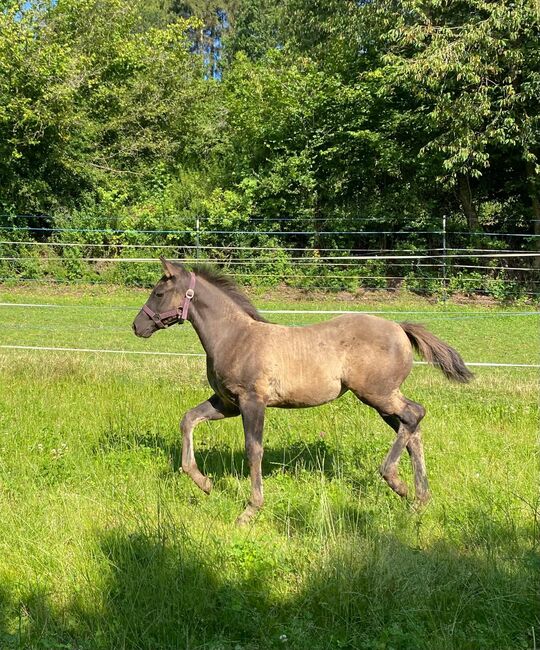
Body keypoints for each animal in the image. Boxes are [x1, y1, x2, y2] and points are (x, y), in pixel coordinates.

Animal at [133, 256, 470, 520]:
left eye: (158, 292)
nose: (137, 326)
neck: (235, 336)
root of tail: (400, 327)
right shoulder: (226, 403)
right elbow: (188, 419)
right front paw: (204, 483)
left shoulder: (252, 401)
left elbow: (253, 450)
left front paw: (251, 510)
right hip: (381, 399)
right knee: (412, 428)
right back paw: (418, 499)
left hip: (378, 394)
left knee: (414, 415)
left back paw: (395, 480)